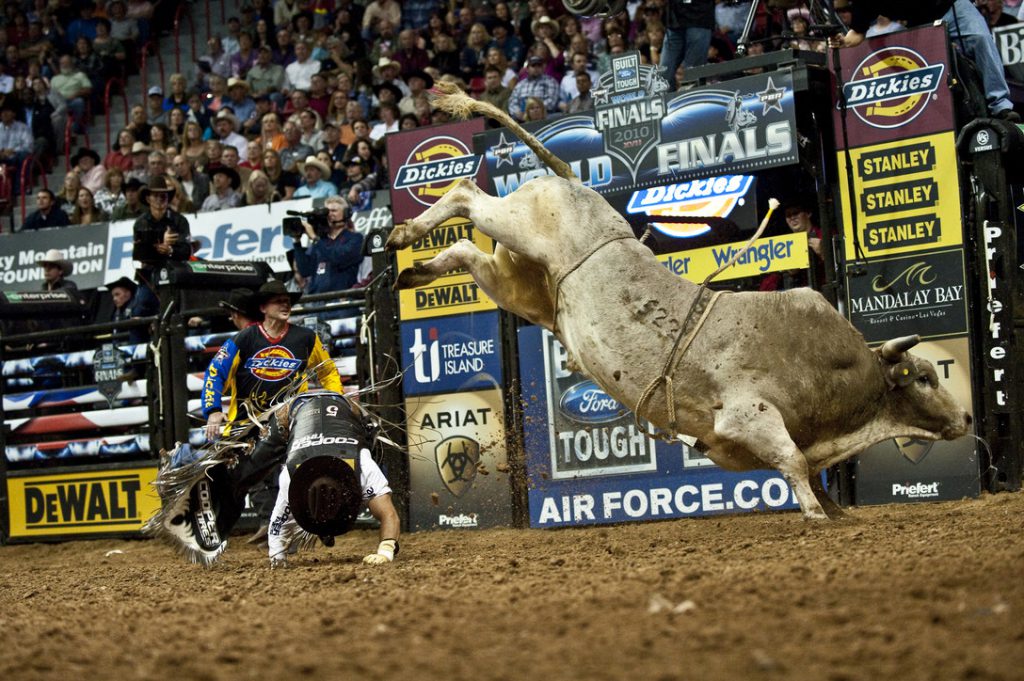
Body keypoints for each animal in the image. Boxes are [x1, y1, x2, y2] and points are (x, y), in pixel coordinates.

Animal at [386, 82, 972, 521]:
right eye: (924, 377)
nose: (965, 416)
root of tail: (572, 181)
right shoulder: (747, 416)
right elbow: (793, 461)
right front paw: (813, 512)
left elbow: (803, 466)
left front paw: (834, 511)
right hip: (518, 225)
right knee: (465, 194)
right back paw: (404, 235)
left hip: (520, 284)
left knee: (465, 248)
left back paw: (416, 269)